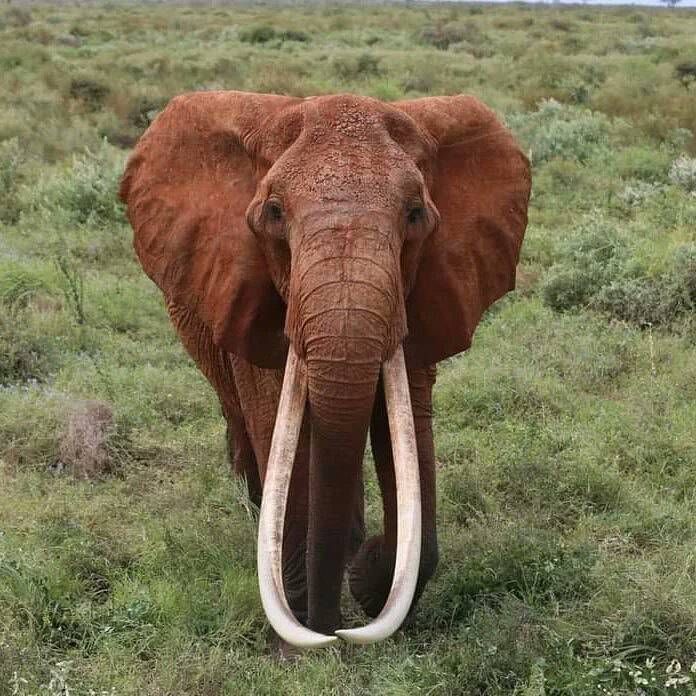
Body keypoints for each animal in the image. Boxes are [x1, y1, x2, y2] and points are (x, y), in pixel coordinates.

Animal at [119, 91, 531, 648]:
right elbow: (276, 418)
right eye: (273, 213)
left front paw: (367, 574)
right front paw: (303, 639)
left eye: (415, 214)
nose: (332, 631)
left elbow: (402, 429)